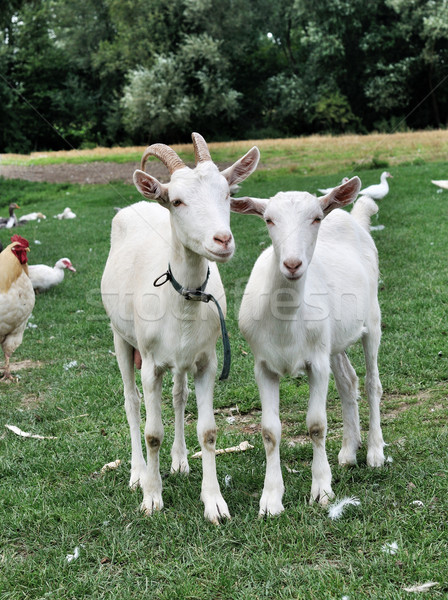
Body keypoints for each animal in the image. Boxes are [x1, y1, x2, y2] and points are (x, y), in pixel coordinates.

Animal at [102, 132, 260, 524]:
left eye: (227, 193)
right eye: (176, 200)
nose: (222, 240)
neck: (182, 298)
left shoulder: (206, 361)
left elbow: (208, 430)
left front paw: (214, 503)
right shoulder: (150, 363)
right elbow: (151, 433)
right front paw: (151, 497)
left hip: (181, 359)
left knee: (178, 396)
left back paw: (179, 461)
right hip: (120, 336)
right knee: (130, 401)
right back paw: (137, 473)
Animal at [231, 178, 384, 516]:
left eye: (315, 218)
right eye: (268, 219)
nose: (292, 264)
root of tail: (350, 216)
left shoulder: (316, 362)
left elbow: (316, 425)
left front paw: (322, 490)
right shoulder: (263, 366)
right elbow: (270, 431)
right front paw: (271, 499)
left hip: (373, 319)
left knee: (372, 383)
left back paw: (375, 452)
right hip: (333, 341)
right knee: (348, 381)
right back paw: (348, 451)